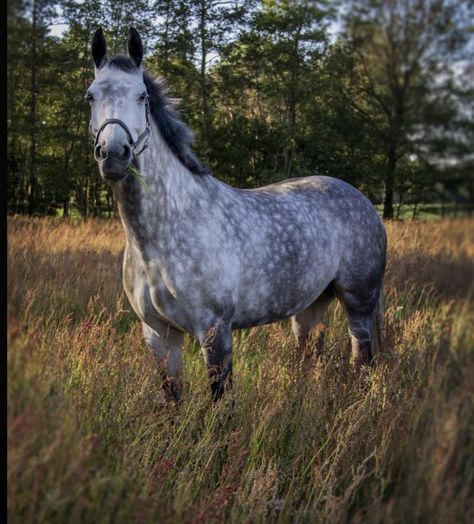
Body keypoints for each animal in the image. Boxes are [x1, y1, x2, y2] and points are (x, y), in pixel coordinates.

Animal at [87, 28, 386, 402]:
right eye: (90, 97)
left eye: (142, 97)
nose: (114, 154)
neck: (164, 237)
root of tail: (362, 201)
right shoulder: (159, 334)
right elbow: (172, 396)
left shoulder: (215, 330)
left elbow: (221, 397)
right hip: (311, 306)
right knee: (311, 357)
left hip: (359, 302)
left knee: (363, 359)